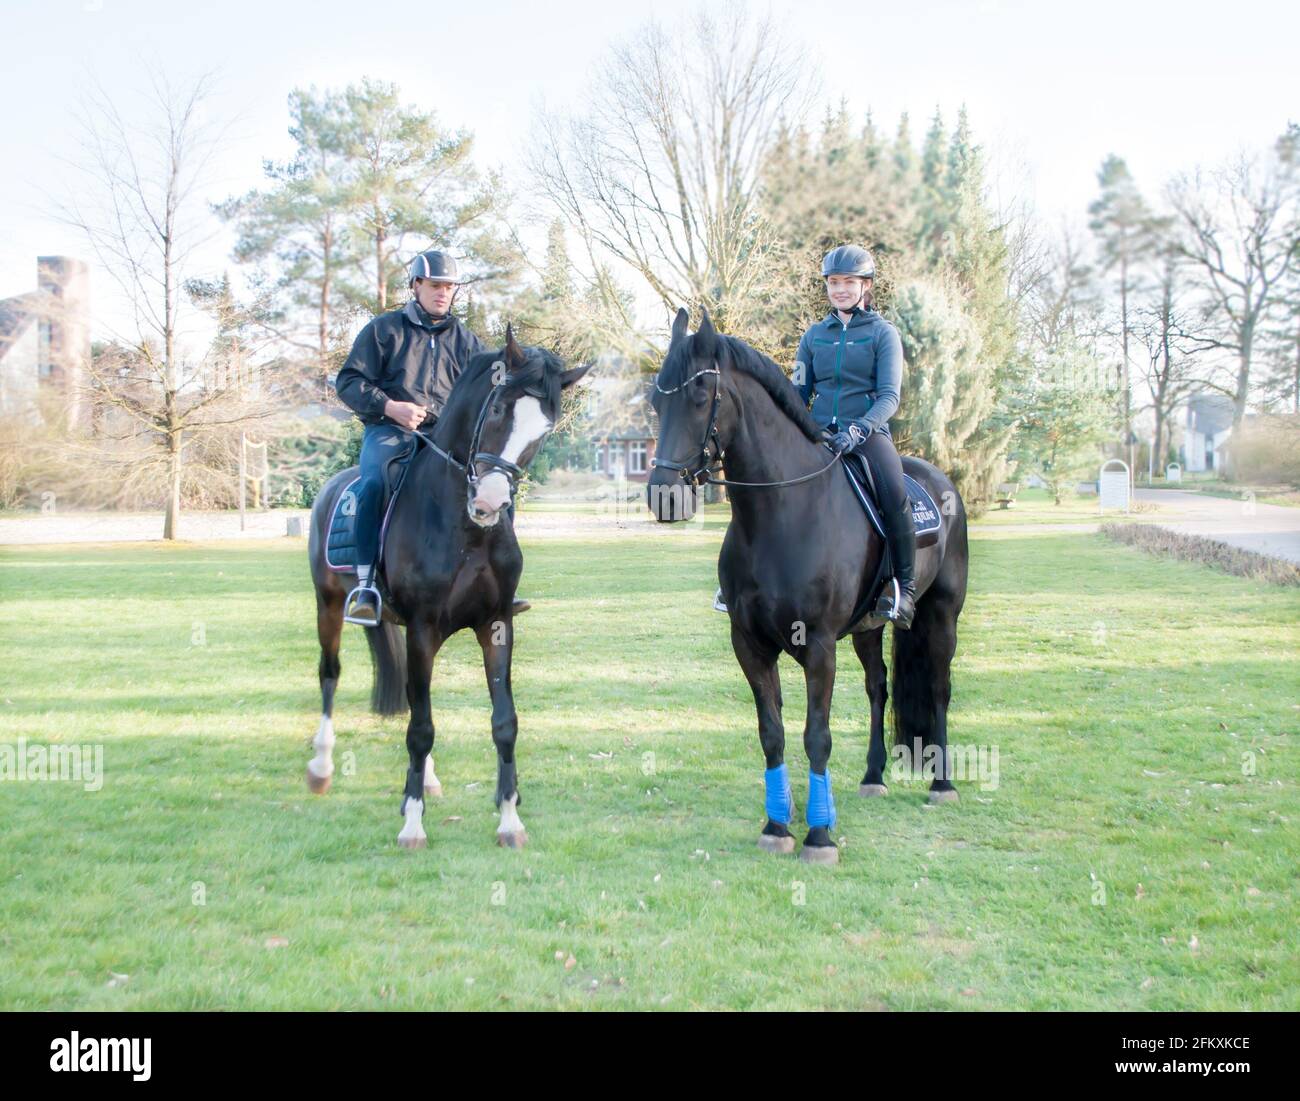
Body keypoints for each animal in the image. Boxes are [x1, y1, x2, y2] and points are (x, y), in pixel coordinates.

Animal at [304, 327, 590, 852]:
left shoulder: (495, 624)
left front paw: (509, 819)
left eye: (543, 431)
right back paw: (321, 767)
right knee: (330, 675)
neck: (465, 531)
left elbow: (503, 722)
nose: (490, 502)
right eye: (497, 411)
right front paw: (413, 825)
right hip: (328, 605)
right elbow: (420, 728)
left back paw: (427, 781)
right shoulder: (423, 629)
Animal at [647, 305, 967, 863]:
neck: (782, 515)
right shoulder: (749, 644)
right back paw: (873, 776)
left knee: (938, 687)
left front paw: (819, 835)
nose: (662, 495)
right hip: (867, 630)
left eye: (700, 397)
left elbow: (816, 735)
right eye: (654, 400)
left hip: (942, 615)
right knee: (878, 688)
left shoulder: (818, 645)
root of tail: (938, 477)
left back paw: (942, 784)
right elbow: (771, 733)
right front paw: (778, 825)